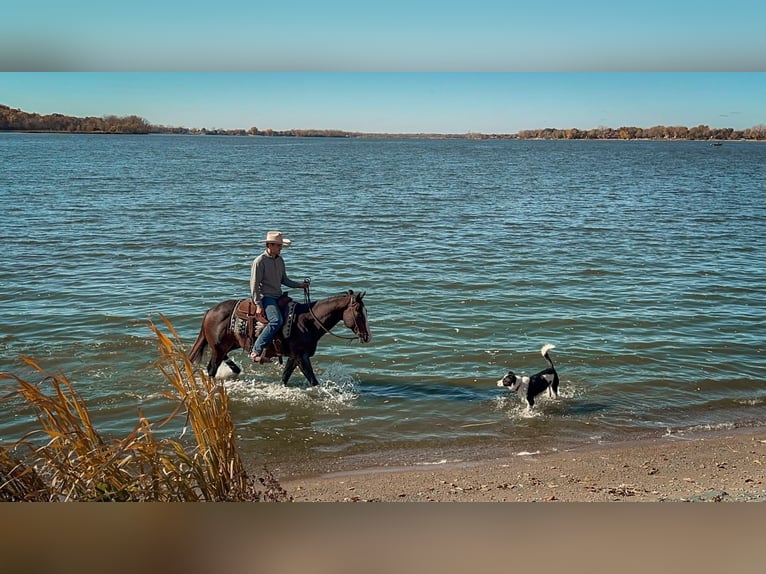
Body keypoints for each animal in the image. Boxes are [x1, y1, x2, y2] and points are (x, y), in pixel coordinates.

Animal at [190, 292, 374, 388]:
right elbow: (313, 380)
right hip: (219, 348)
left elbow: (285, 376)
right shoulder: (301, 356)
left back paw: (235, 369)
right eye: (358, 312)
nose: (368, 336)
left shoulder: (294, 356)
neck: (307, 321)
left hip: (227, 345)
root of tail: (210, 311)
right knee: (211, 369)